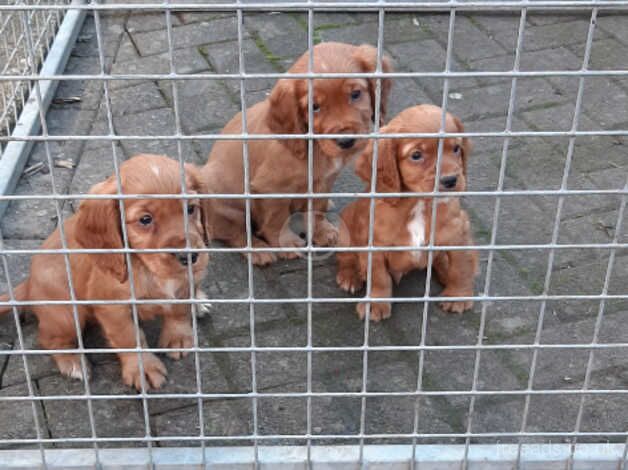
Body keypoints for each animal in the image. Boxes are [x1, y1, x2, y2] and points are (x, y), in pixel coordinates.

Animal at [0, 154, 210, 390]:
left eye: (190, 208)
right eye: (145, 219)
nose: (189, 257)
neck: (147, 268)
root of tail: (28, 283)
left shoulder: (186, 281)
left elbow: (179, 310)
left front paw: (178, 336)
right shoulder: (112, 307)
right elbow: (129, 338)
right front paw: (143, 368)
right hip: (65, 315)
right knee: (48, 339)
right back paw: (73, 362)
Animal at [199, 41, 392, 264]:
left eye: (355, 94)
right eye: (314, 107)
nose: (346, 141)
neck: (314, 147)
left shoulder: (325, 180)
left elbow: (317, 207)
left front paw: (321, 231)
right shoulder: (271, 189)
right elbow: (275, 219)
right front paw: (285, 243)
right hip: (226, 206)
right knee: (234, 233)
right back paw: (258, 250)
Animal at [336, 104, 478, 322]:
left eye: (456, 149)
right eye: (416, 155)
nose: (451, 180)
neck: (419, 204)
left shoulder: (458, 234)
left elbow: (460, 267)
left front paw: (458, 296)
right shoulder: (374, 245)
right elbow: (379, 276)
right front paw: (375, 304)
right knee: (346, 257)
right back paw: (350, 276)